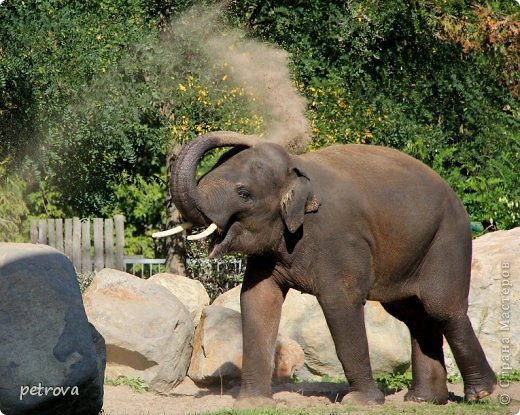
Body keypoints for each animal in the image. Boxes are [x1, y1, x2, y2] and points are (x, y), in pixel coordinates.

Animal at [154, 132, 496, 406]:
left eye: (243, 193)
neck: (296, 168)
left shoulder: (340, 239)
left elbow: (339, 302)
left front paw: (360, 402)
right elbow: (257, 300)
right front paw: (252, 403)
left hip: (447, 240)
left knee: (441, 309)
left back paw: (481, 394)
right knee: (414, 316)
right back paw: (423, 400)